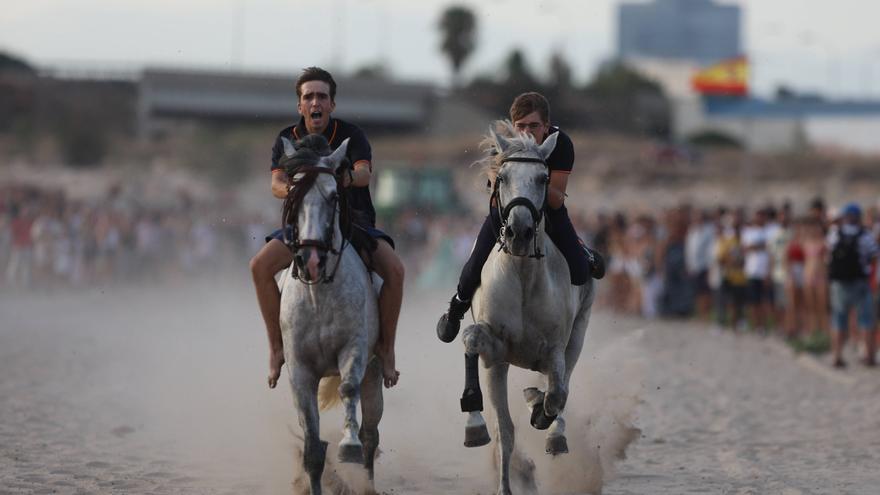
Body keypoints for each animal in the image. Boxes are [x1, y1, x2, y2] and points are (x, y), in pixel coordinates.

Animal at [276, 137, 384, 495]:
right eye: (292, 193)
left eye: (335, 195)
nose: (310, 259)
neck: (318, 295)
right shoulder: (300, 370)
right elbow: (312, 448)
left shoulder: (354, 350)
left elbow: (347, 389)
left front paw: (348, 446)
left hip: (375, 372)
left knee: (371, 435)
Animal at [458, 121, 596, 495]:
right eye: (502, 177)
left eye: (543, 178)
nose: (519, 232)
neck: (522, 274)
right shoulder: (496, 354)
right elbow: (503, 430)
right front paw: (476, 425)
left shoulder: (554, 350)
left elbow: (557, 395)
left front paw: (539, 409)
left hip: (577, 338)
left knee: (562, 386)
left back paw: (553, 430)